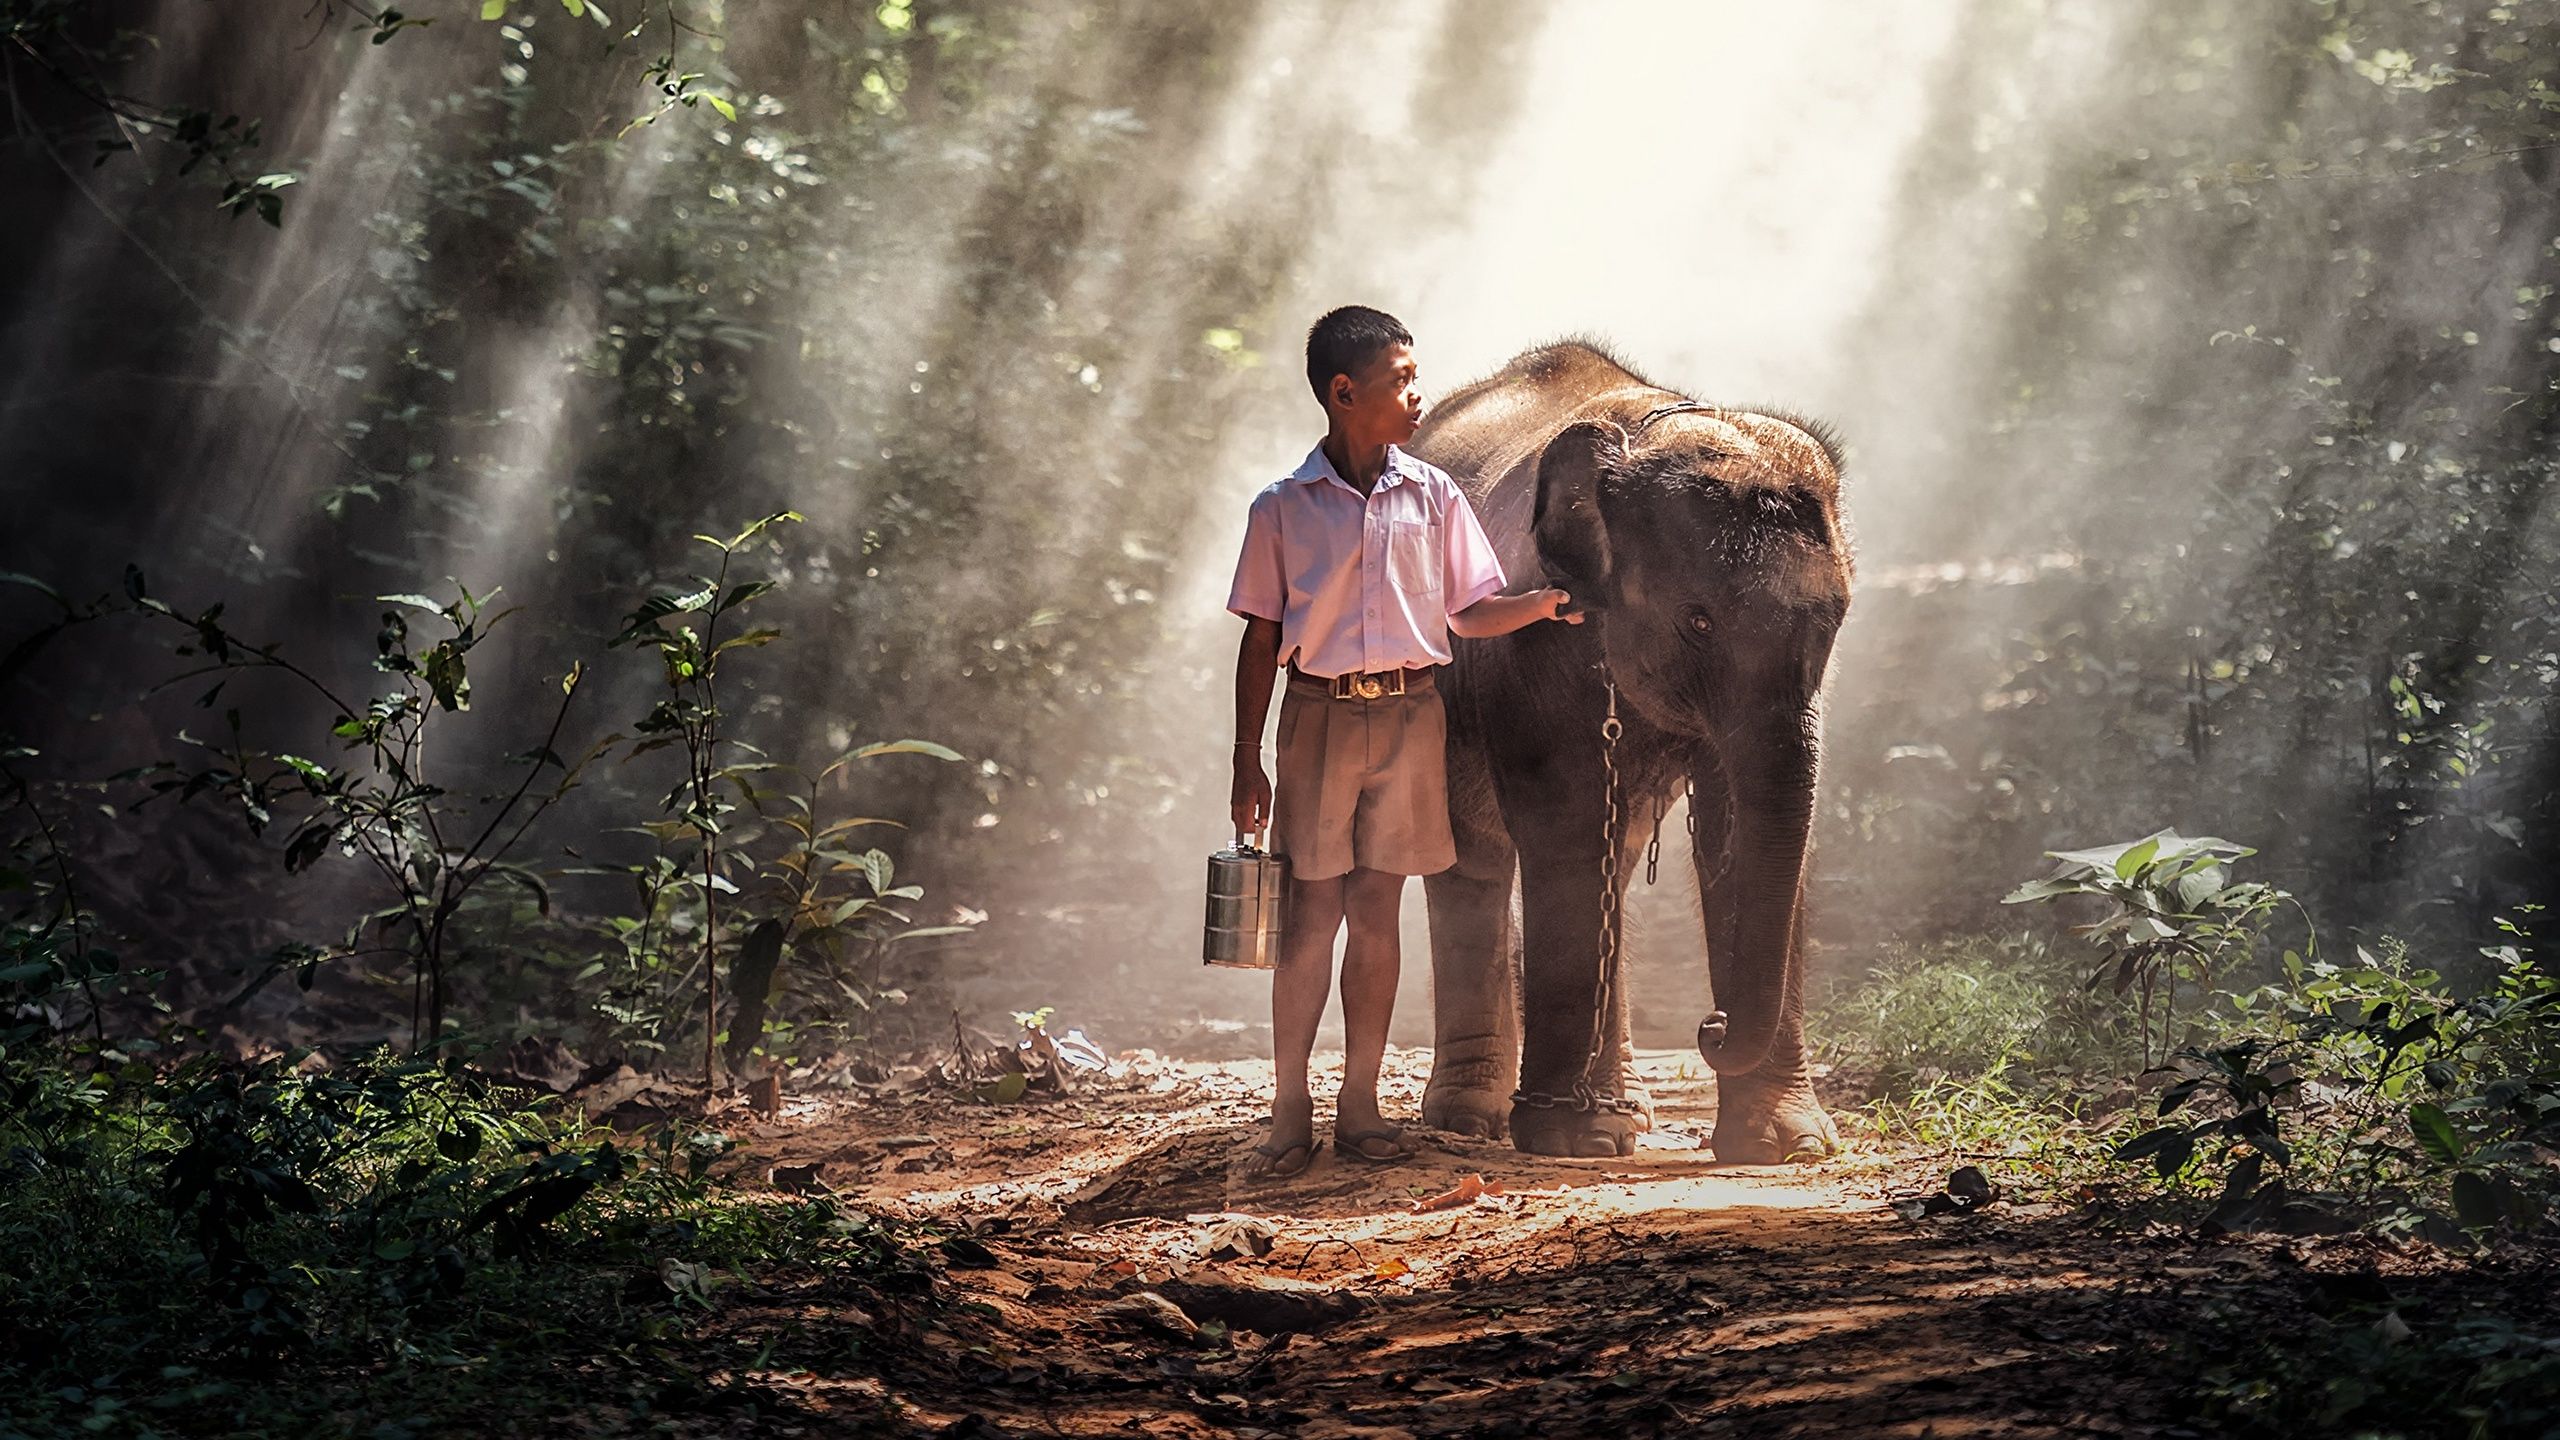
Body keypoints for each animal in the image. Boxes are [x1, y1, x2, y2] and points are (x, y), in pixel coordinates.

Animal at [1413, 340, 1853, 1158]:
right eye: (1699, 621)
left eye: (1834, 622)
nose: (1709, 1027)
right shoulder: (1530, 638)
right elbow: (1566, 829)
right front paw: (1566, 1139)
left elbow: (1735, 835)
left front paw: (1788, 1146)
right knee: (1475, 861)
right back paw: (1474, 1120)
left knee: (1613, 864)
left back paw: (1628, 1114)